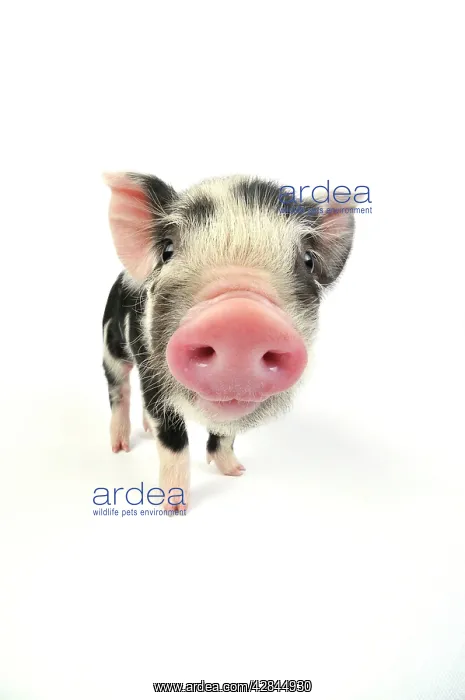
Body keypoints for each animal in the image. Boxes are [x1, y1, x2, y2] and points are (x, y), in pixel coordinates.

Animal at [102, 173, 355, 511]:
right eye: (168, 250)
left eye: (308, 261)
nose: (241, 319)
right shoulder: (154, 380)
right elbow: (173, 440)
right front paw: (174, 509)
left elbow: (225, 432)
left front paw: (236, 472)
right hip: (110, 345)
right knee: (119, 389)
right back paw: (120, 448)